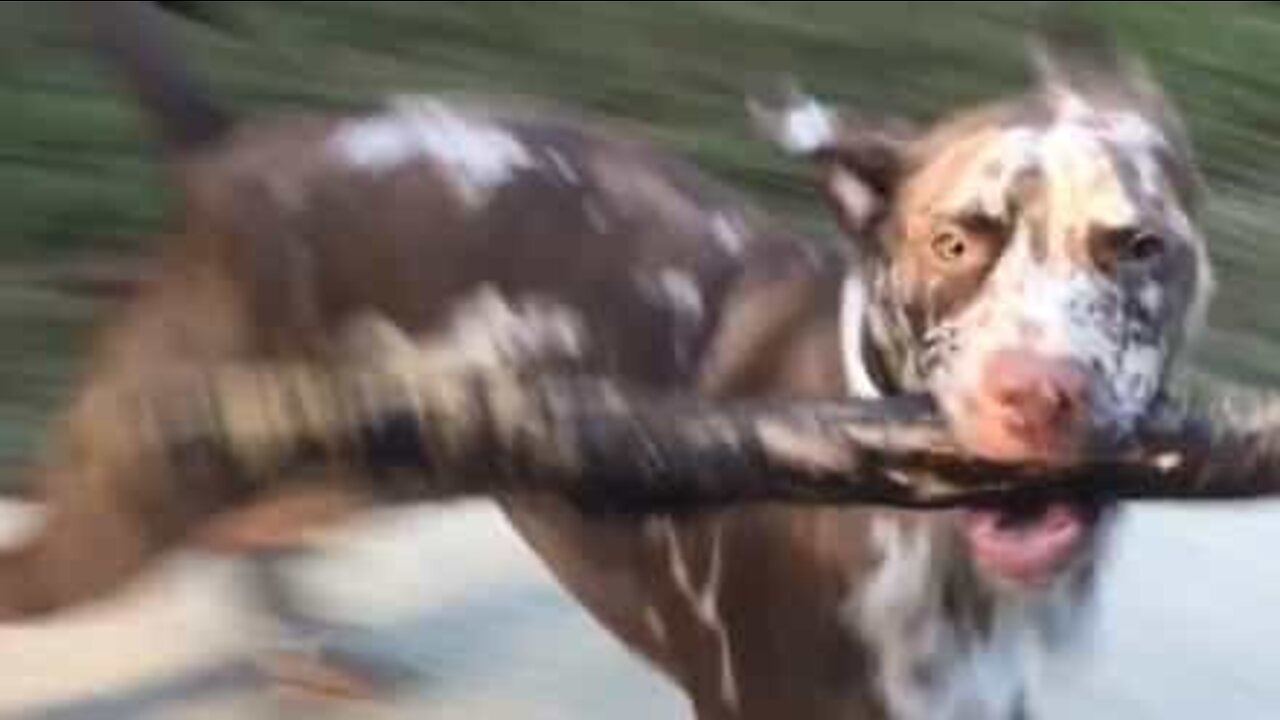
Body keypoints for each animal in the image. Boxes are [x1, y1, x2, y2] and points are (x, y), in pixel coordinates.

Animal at [0, 2, 1213, 712]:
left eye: (1139, 245)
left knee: (253, 533)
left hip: (342, 465)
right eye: (955, 242)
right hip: (136, 500)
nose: (1038, 395)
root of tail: (230, 157)